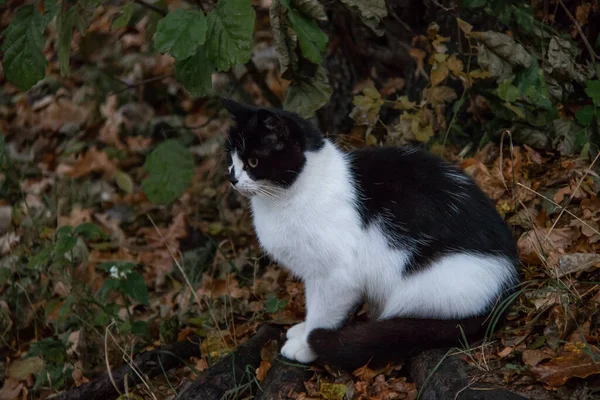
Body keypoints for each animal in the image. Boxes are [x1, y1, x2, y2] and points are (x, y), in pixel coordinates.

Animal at [223, 98, 516, 370]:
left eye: (253, 162)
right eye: (231, 161)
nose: (232, 179)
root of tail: (508, 284)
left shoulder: (336, 275)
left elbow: (322, 311)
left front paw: (306, 344)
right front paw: (302, 329)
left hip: (423, 287)